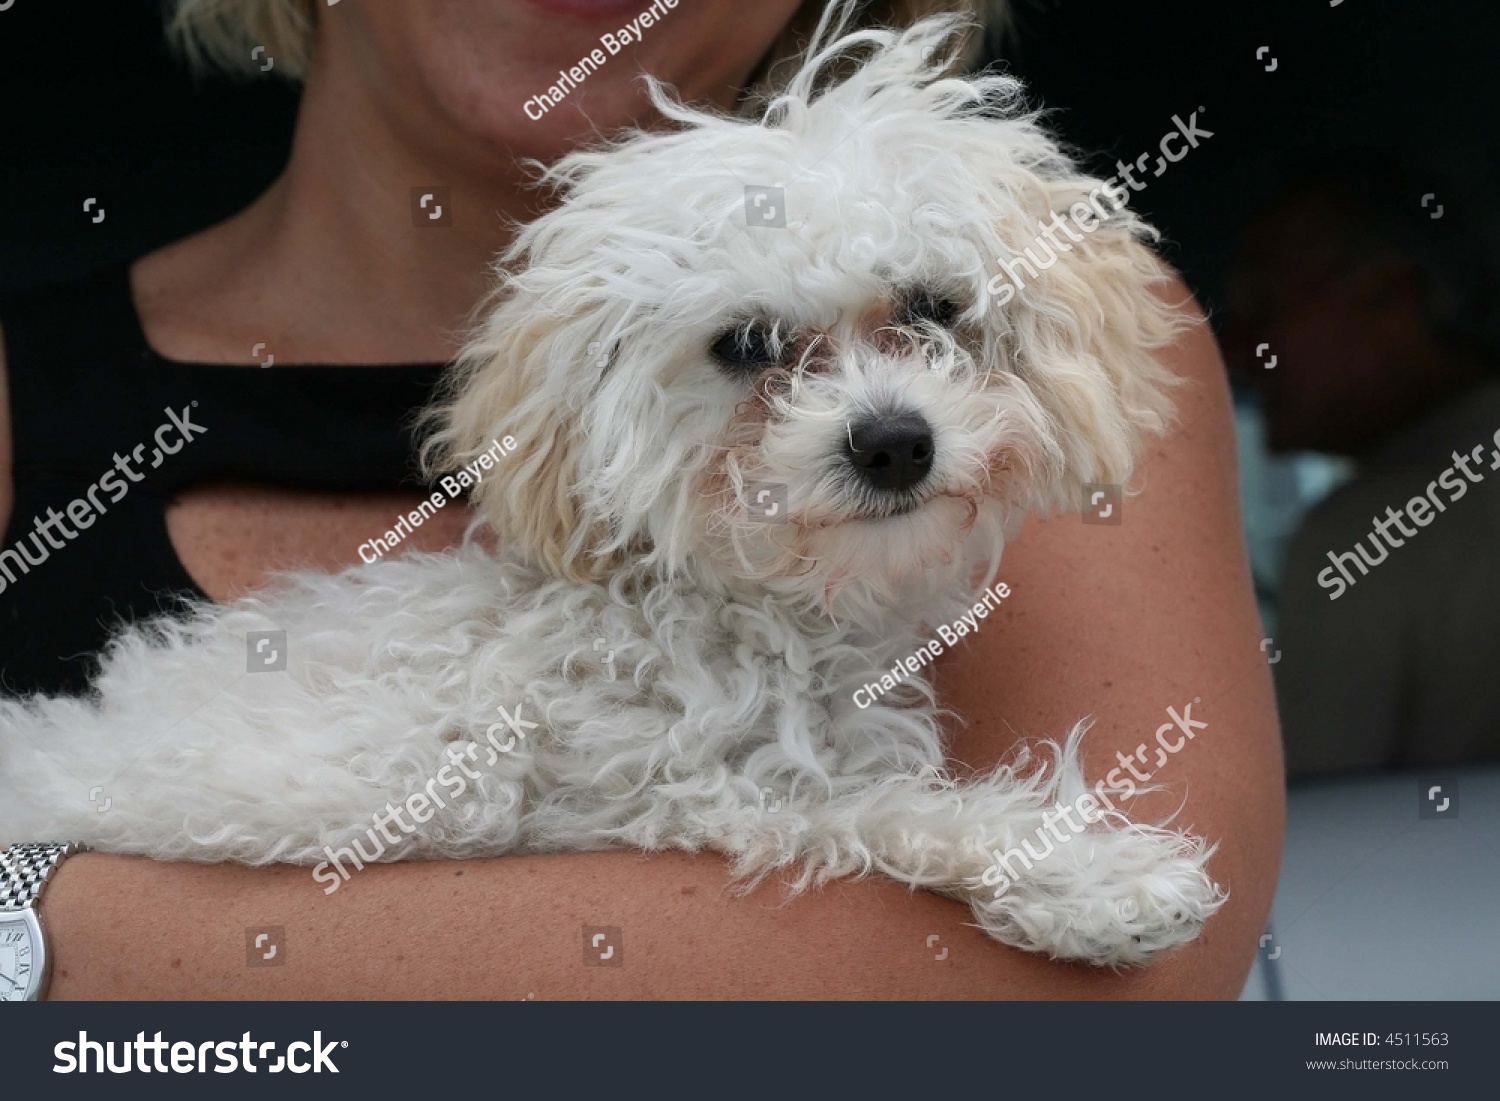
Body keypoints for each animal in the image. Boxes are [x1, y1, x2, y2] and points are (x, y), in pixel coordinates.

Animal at [0, 12, 1224, 972]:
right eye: (745, 345)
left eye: (931, 306)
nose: (892, 443)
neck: (720, 613)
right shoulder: (648, 792)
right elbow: (870, 807)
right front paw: (1086, 877)